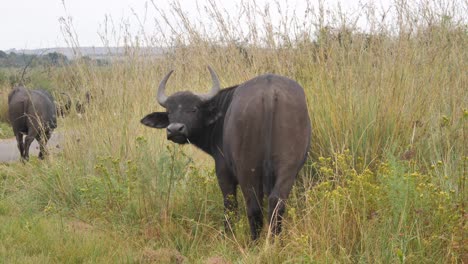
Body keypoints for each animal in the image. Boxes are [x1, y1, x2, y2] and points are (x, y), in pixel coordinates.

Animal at [142, 66, 310, 239]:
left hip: (246, 168)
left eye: (194, 109)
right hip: (288, 167)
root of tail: (269, 93)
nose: (175, 129)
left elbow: (230, 205)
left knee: (253, 206)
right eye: (169, 111)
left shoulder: (223, 172)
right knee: (276, 202)